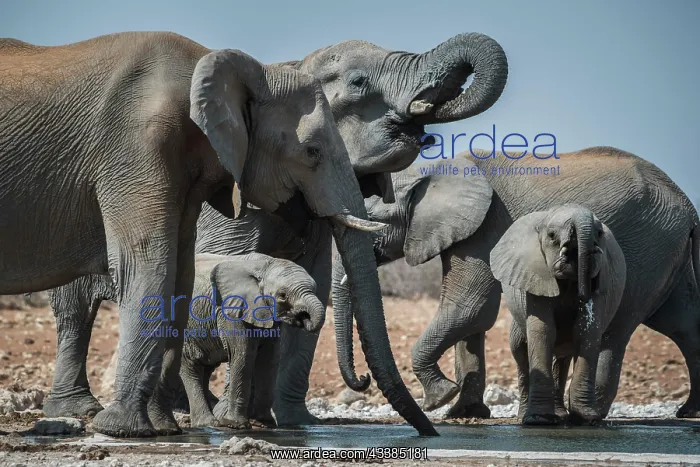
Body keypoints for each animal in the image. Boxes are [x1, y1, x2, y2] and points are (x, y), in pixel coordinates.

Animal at [179, 253, 324, 429]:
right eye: (282, 295)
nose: (304, 319)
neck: (264, 265)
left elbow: (269, 359)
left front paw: (264, 423)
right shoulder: (231, 311)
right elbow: (243, 355)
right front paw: (235, 425)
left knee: (204, 368)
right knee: (190, 364)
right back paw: (207, 423)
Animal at [490, 204, 626, 425]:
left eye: (599, 234)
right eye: (552, 236)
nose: (583, 293)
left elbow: (586, 332)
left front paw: (588, 419)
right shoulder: (535, 276)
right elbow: (544, 330)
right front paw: (539, 419)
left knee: (562, 358)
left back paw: (561, 416)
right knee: (520, 349)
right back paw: (528, 416)